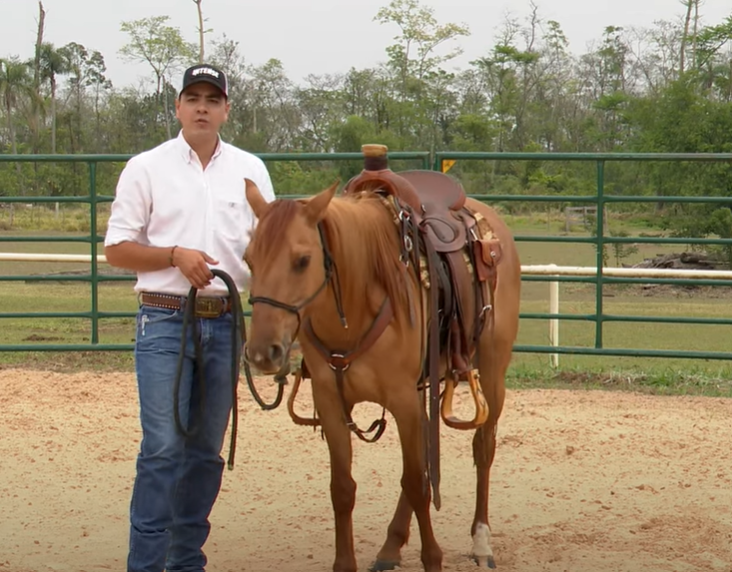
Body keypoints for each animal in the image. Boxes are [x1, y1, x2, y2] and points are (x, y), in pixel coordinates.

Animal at [243, 152, 524, 572]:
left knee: (483, 447)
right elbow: (344, 488)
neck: (357, 304)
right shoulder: (332, 402)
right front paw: (346, 563)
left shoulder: (403, 400)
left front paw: (432, 558)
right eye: (248, 259)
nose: (263, 352)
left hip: (491, 373)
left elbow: (417, 484)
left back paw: (481, 542)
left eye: (302, 260)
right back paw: (391, 546)